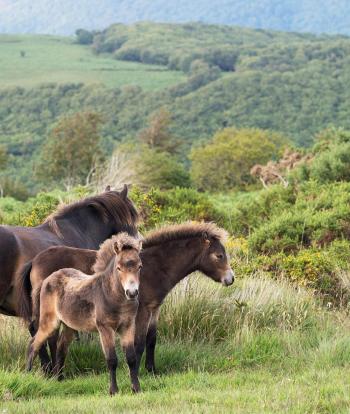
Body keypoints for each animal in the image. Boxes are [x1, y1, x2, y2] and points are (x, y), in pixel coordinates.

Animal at [20, 223, 234, 376]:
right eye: (219, 255)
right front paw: (136, 371)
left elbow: (151, 339)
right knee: (44, 334)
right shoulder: (141, 311)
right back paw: (50, 372)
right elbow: (138, 342)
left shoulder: (154, 309)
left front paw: (152, 370)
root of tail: (34, 261)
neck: (153, 267)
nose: (230, 279)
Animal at [26, 233, 142, 394]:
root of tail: (48, 278)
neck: (113, 296)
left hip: (69, 325)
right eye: (119, 268)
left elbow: (131, 358)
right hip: (49, 323)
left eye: (139, 266)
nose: (132, 293)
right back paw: (27, 375)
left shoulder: (128, 326)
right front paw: (113, 390)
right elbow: (111, 359)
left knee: (61, 348)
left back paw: (59, 379)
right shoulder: (105, 328)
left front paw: (136, 388)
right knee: (33, 344)